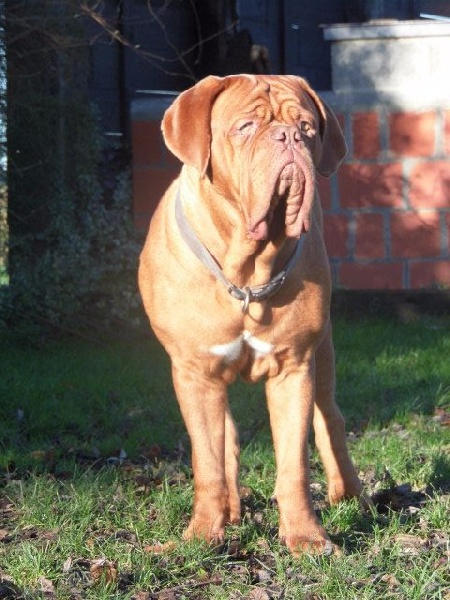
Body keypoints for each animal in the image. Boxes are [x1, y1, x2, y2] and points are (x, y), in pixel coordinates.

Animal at [138, 75, 363, 555]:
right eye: (245, 127)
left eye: (307, 127)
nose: (289, 137)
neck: (246, 267)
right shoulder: (194, 372)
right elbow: (208, 461)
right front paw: (204, 535)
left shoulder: (294, 368)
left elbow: (294, 464)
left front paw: (306, 537)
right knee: (224, 443)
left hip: (324, 354)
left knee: (330, 419)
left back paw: (351, 495)